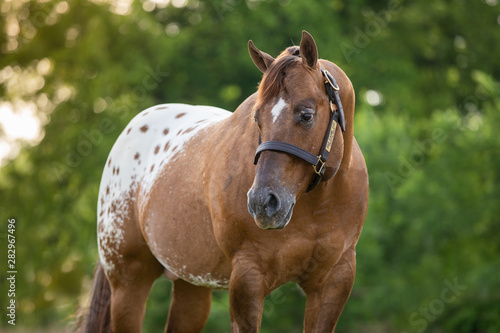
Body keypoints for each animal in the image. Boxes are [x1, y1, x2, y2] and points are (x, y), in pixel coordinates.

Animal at [83, 29, 368, 330]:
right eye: (257, 118)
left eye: (306, 115)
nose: (263, 203)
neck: (317, 206)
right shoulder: (248, 277)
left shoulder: (334, 281)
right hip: (128, 283)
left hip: (191, 286)